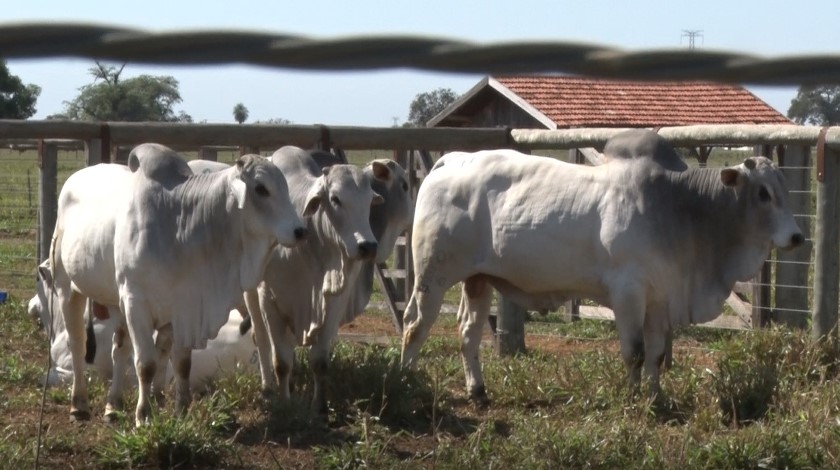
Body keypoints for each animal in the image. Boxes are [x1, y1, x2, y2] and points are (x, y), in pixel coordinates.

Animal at [47, 144, 306, 426]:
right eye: (261, 188)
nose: (300, 230)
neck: (181, 222)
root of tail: (74, 179)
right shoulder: (137, 303)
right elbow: (146, 364)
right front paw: (144, 415)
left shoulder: (184, 308)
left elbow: (180, 362)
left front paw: (179, 411)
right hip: (68, 288)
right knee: (78, 343)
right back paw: (79, 404)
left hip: (117, 301)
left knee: (120, 350)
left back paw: (113, 405)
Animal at [244, 146, 392, 412]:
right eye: (335, 199)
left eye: (369, 201)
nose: (367, 246)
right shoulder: (268, 300)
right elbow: (280, 361)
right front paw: (284, 404)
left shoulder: (334, 304)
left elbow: (320, 361)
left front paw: (319, 407)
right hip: (251, 294)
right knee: (261, 340)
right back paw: (268, 387)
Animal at [404, 130, 804, 402]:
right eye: (763, 193)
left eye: (785, 189)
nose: (797, 236)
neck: (681, 205)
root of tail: (450, 160)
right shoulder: (628, 293)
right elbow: (636, 352)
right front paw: (632, 398)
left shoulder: (660, 298)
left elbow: (656, 354)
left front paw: (655, 397)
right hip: (432, 276)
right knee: (415, 326)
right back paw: (406, 381)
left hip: (478, 279)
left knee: (468, 332)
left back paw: (478, 390)